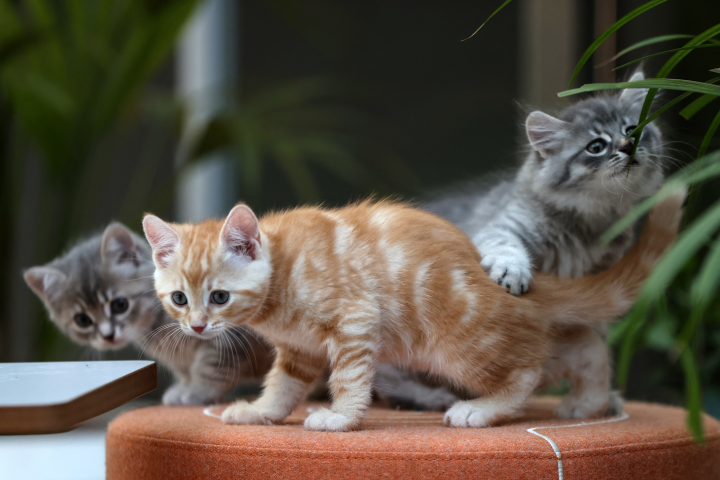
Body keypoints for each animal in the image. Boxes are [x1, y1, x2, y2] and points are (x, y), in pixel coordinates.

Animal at [23, 223, 272, 404]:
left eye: (119, 305)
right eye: (82, 320)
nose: (108, 336)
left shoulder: (229, 338)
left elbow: (213, 367)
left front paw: (197, 392)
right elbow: (187, 370)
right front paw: (184, 387)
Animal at [143, 189, 684, 430]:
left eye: (219, 297)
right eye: (179, 299)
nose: (197, 327)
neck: (284, 269)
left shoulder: (357, 321)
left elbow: (351, 379)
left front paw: (340, 418)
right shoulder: (300, 350)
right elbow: (284, 385)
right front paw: (261, 412)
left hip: (460, 345)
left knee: (528, 369)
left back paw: (482, 408)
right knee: (581, 343)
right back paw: (588, 402)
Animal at [376, 70, 664, 412]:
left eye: (631, 129)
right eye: (596, 146)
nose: (629, 145)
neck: (590, 224)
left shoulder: (600, 284)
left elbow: (597, 347)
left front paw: (601, 400)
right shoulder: (504, 225)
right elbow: (506, 249)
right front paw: (511, 274)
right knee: (386, 379)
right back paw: (433, 397)